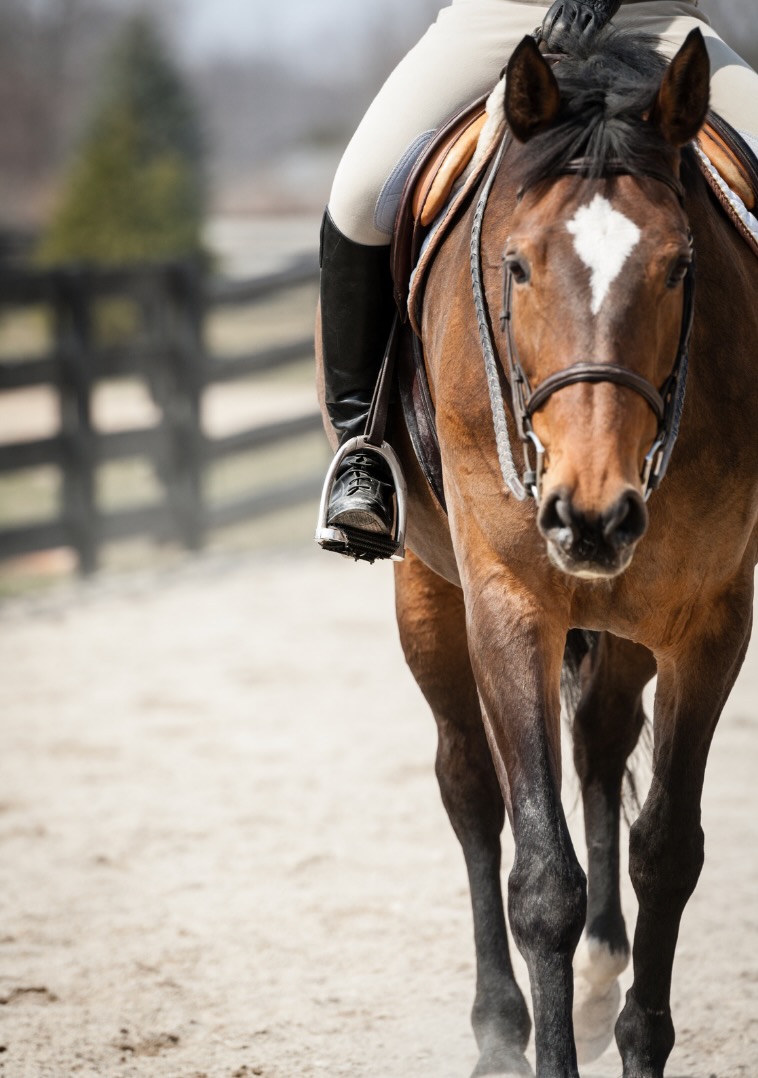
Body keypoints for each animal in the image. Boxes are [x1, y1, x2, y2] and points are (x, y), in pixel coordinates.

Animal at [317, 27, 758, 1078]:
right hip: (428, 590)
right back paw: (498, 1028)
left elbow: (666, 851)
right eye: (515, 266)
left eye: (680, 268)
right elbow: (542, 877)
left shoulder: (713, 619)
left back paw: (599, 982)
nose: (590, 516)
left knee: (598, 744)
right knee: (471, 789)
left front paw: (635, 1033)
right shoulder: (510, 602)